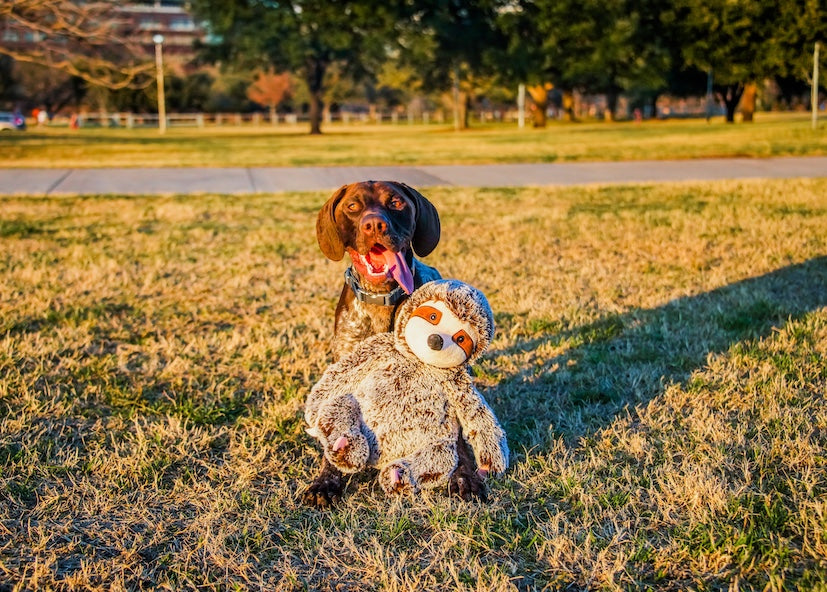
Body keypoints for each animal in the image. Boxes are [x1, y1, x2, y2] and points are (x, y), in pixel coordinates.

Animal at [302, 182, 486, 508]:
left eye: (397, 202)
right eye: (352, 206)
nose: (375, 224)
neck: (381, 298)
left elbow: (458, 435)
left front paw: (465, 476)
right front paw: (326, 480)